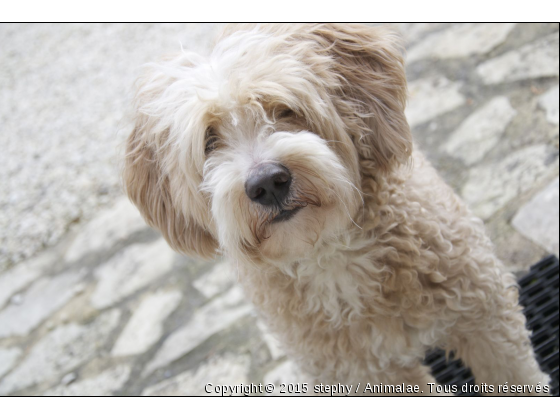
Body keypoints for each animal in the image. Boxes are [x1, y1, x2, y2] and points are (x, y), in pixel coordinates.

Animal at [123, 24, 552, 396]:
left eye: (285, 109)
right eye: (209, 140)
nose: (268, 183)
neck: (332, 254)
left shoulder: (484, 315)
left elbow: (517, 377)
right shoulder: (364, 377)